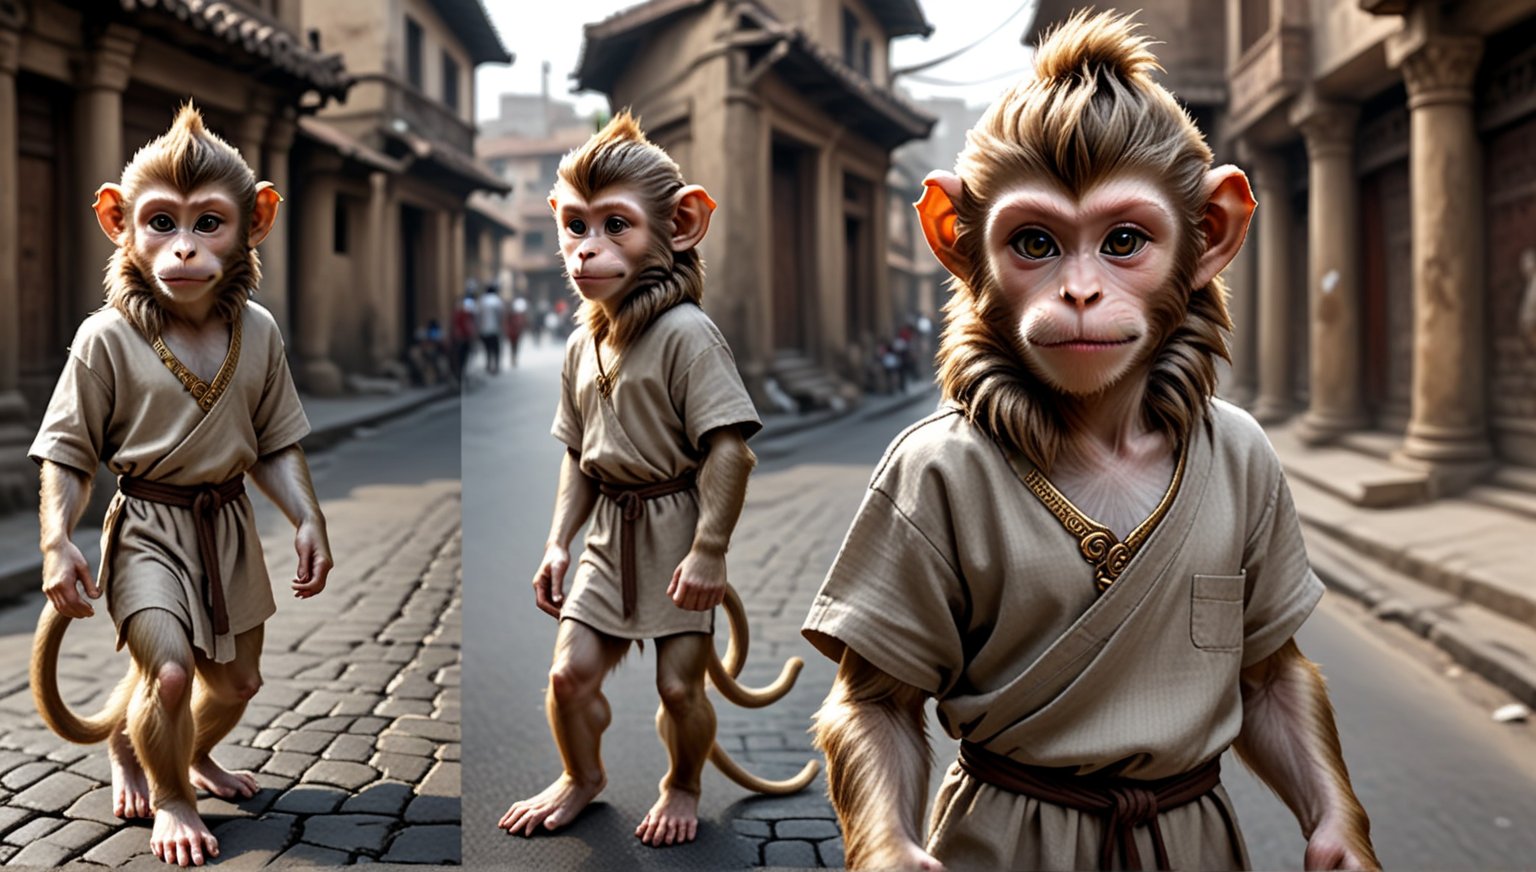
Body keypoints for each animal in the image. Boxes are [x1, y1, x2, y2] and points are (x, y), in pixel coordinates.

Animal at [27, 103, 333, 865]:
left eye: (209, 222)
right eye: (161, 221)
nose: (186, 253)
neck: (184, 315)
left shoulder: (270, 340)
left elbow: (276, 450)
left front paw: (312, 548)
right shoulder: (90, 348)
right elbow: (72, 460)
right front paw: (62, 567)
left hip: (239, 611)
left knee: (234, 678)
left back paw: (202, 769)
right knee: (164, 675)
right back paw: (153, 787)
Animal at [500, 112, 817, 847]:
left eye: (617, 224)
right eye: (577, 224)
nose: (586, 253)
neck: (626, 318)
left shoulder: (703, 346)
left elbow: (728, 451)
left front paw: (700, 565)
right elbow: (577, 465)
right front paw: (551, 570)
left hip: (682, 622)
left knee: (680, 691)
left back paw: (678, 801)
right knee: (574, 680)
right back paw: (576, 788)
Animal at [798, 13, 1388, 872]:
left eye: (1123, 241)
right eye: (1035, 245)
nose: (1080, 294)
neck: (1101, 426)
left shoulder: (1264, 468)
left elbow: (1269, 674)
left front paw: (1341, 845)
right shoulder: (902, 488)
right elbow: (879, 703)